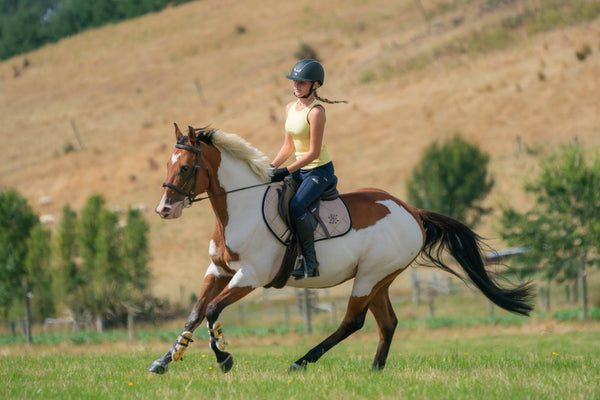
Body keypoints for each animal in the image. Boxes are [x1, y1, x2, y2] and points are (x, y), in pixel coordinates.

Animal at [149, 124, 536, 376]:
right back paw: (375, 370)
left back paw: (301, 362)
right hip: (381, 280)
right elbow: (195, 313)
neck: (237, 208)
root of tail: (412, 211)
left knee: (353, 321)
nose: (163, 210)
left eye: (186, 167)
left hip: (369, 276)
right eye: (167, 164)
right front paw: (165, 360)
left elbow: (213, 310)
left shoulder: (250, 276)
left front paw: (224, 359)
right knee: (387, 323)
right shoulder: (218, 270)